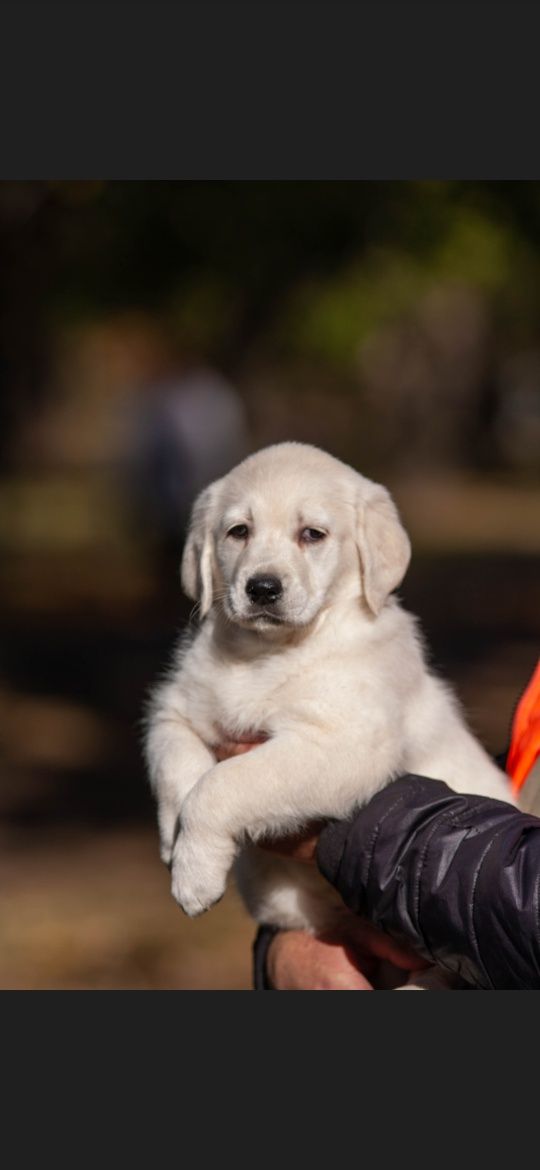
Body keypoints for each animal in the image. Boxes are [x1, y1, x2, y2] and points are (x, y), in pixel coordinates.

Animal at [144, 442, 514, 982]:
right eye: (239, 531)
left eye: (312, 535)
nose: (262, 588)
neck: (268, 653)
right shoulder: (174, 710)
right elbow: (177, 766)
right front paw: (176, 844)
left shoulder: (344, 745)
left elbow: (223, 785)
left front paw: (193, 876)